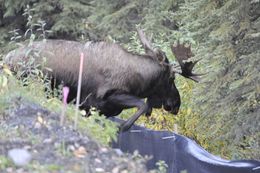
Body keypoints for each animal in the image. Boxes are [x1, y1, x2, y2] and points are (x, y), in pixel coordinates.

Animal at [4, 29, 203, 131]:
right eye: (171, 78)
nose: (176, 104)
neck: (140, 81)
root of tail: (6, 58)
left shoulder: (97, 109)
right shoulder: (104, 97)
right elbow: (142, 105)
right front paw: (123, 127)